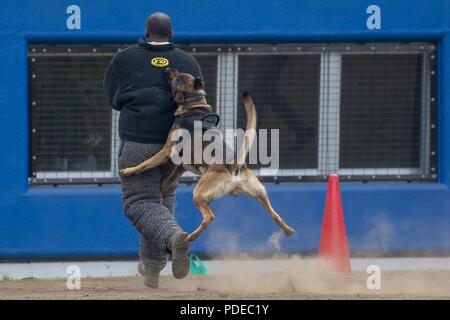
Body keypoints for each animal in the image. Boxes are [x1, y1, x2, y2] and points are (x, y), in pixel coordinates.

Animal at [119, 68, 296, 242]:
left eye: (178, 75)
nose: (168, 68)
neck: (194, 104)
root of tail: (233, 165)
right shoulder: (181, 166)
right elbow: (168, 180)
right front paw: (161, 189)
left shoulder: (166, 152)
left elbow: (145, 164)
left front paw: (129, 171)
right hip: (259, 193)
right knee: (275, 214)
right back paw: (287, 230)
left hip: (198, 193)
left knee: (210, 216)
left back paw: (192, 236)